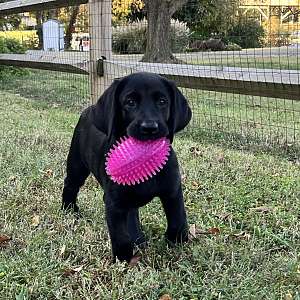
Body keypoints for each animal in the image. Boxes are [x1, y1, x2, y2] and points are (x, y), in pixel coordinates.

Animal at [62, 71, 191, 262]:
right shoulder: (114, 202)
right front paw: (123, 259)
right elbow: (120, 235)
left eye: (162, 101)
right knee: (70, 184)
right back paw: (69, 209)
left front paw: (175, 240)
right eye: (130, 102)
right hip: (77, 164)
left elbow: (178, 220)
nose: (149, 127)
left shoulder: (172, 191)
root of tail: (88, 109)